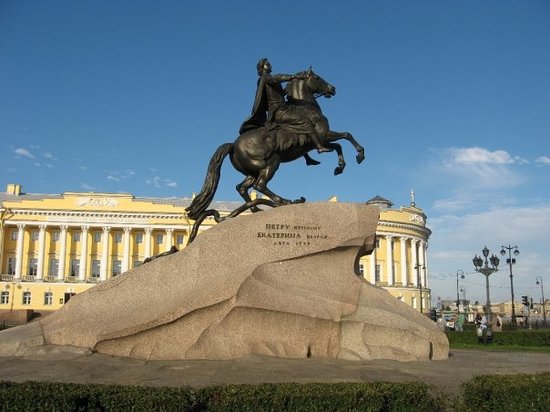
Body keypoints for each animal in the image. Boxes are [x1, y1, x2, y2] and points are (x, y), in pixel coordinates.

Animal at [187, 68, 366, 222]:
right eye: (317, 77)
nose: (332, 89)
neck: (307, 108)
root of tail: (233, 145)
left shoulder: (319, 141)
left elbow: (339, 145)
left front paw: (339, 167)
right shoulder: (323, 137)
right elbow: (346, 137)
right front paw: (359, 155)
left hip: (252, 171)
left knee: (242, 187)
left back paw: (256, 209)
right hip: (271, 162)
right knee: (260, 185)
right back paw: (283, 201)